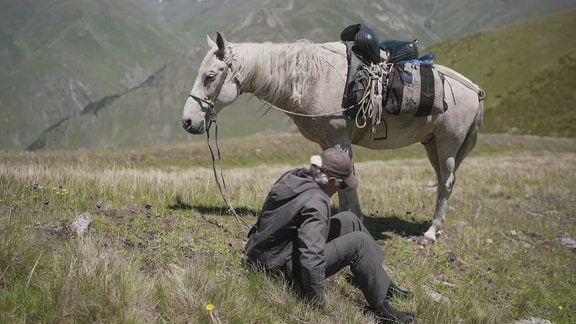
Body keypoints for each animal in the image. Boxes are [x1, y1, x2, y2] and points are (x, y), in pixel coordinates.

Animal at [182, 31, 484, 242]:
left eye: (210, 76)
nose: (188, 121)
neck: (311, 79)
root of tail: (474, 89)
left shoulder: (340, 139)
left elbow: (348, 181)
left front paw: (356, 219)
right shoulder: (327, 142)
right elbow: (338, 181)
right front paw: (341, 214)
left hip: (448, 144)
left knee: (447, 182)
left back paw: (431, 233)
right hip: (432, 144)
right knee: (441, 181)